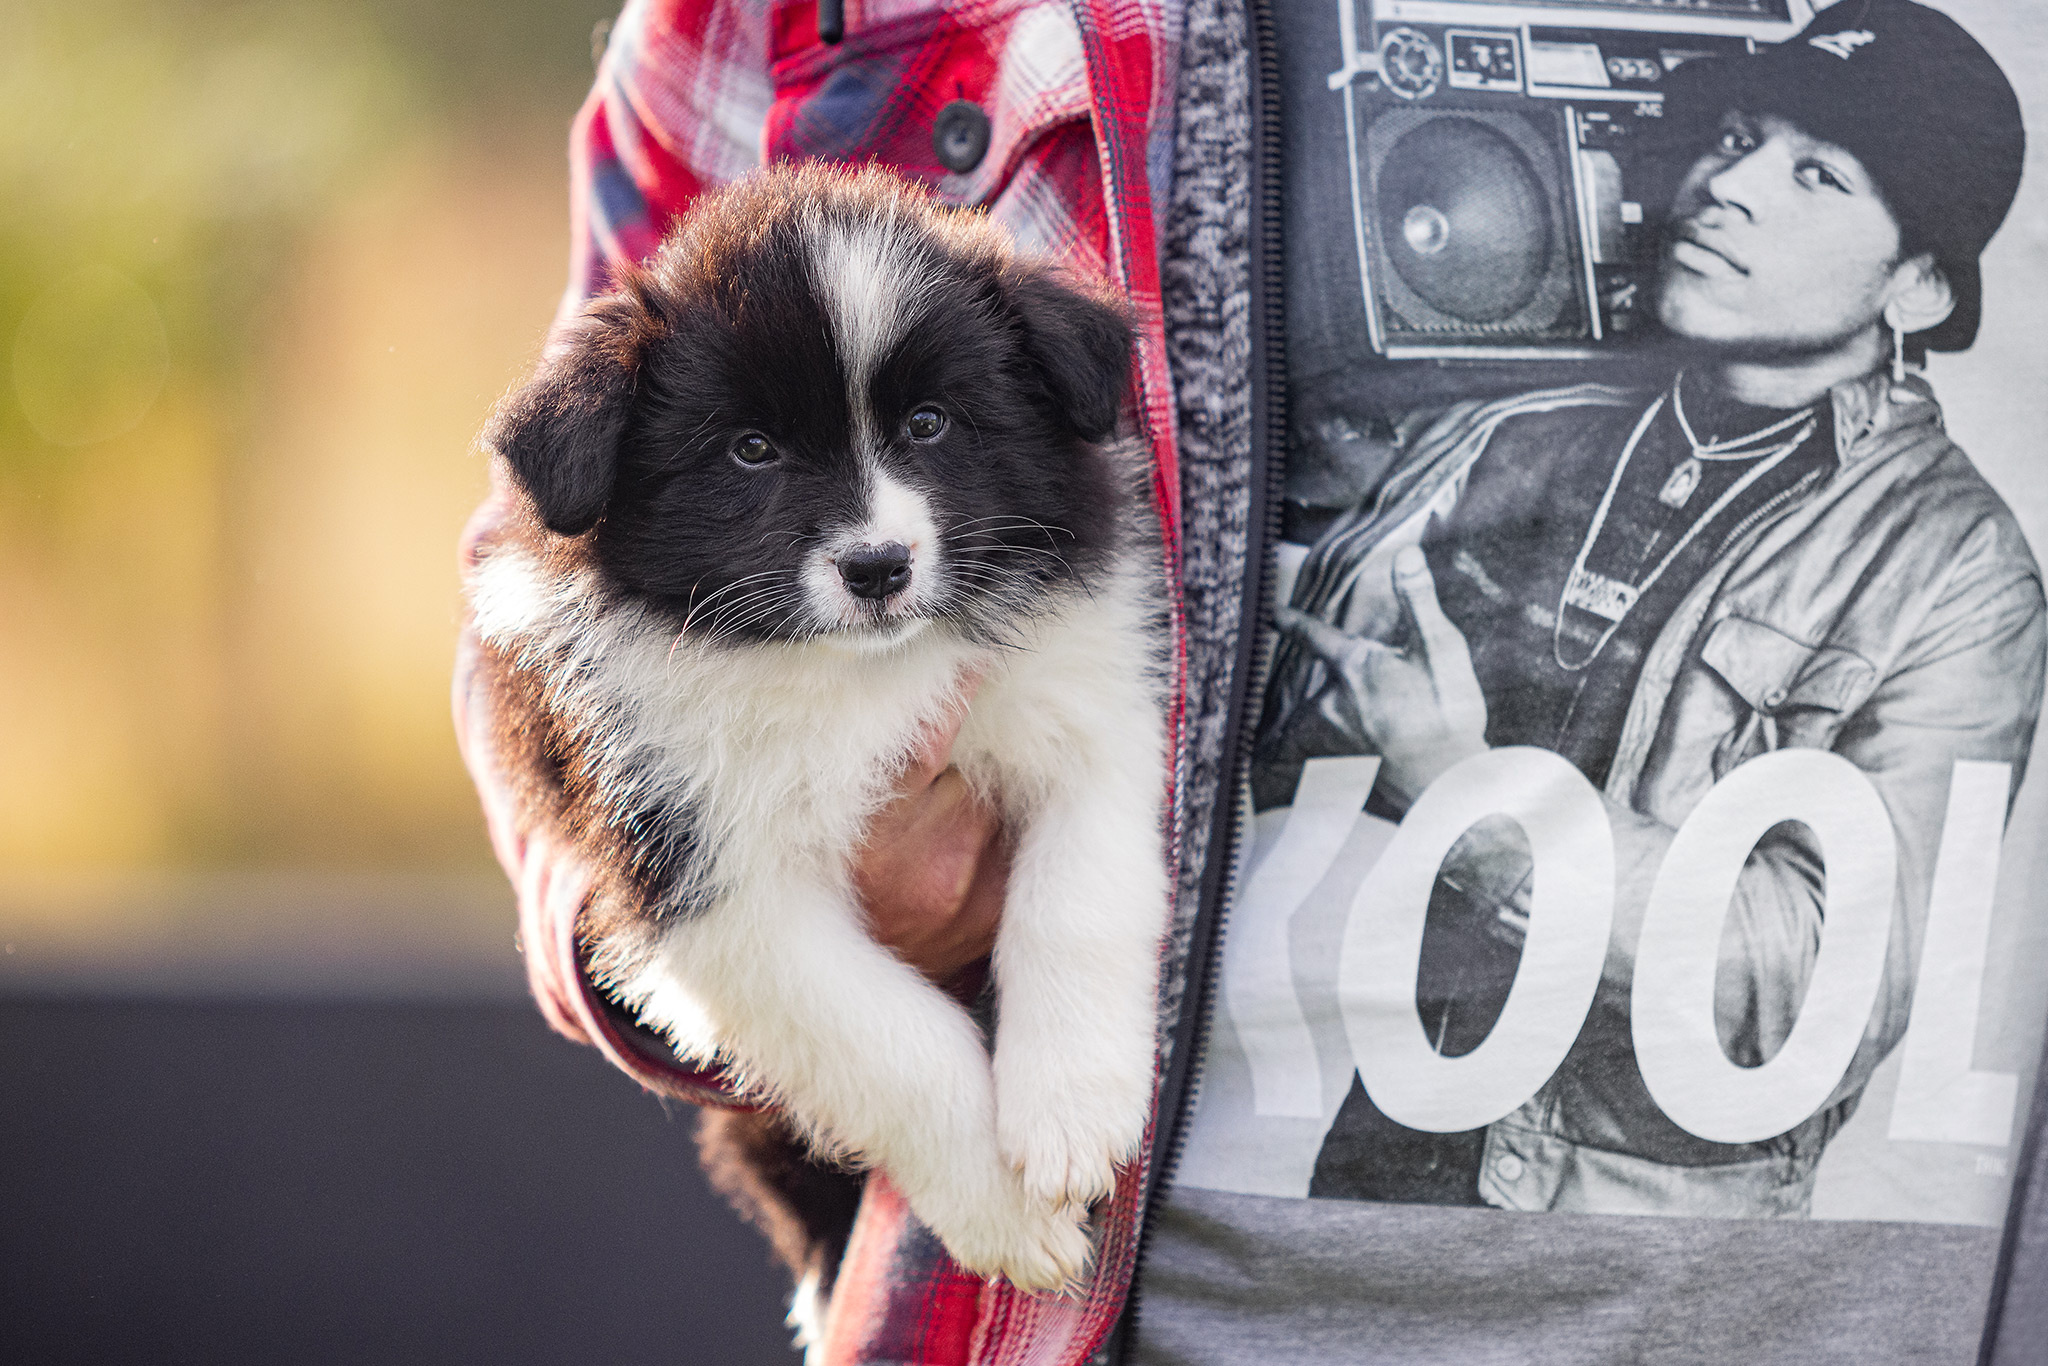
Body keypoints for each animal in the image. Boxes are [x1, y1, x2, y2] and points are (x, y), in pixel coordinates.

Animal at [468, 162, 1171, 1294]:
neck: (852, 673)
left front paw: (1070, 1111)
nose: (878, 566)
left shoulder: (1085, 702)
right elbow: (891, 1042)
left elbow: (1077, 902)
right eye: (751, 450)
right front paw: (1003, 1208)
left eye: (929, 424)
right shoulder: (703, 873)